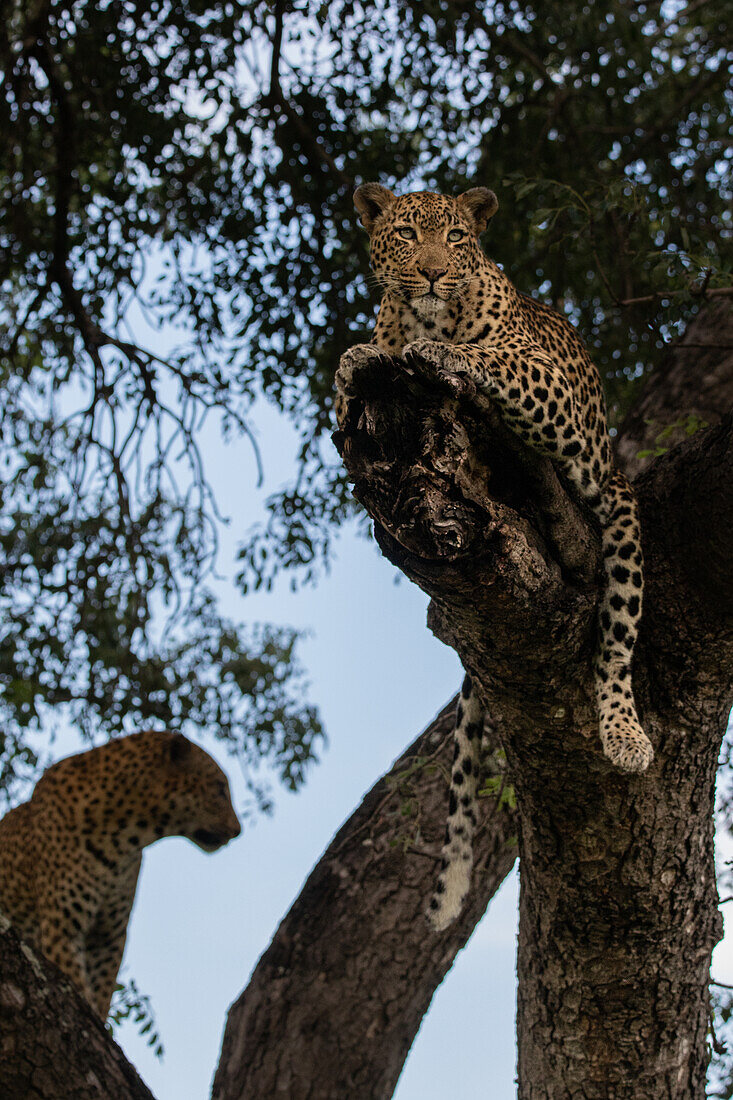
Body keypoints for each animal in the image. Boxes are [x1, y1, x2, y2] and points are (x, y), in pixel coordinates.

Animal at [0, 726, 239, 1016]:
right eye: (219, 789)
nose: (237, 830)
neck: (125, 837)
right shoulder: (63, 925)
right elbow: (77, 982)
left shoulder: (109, 937)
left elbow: (102, 991)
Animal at [334, 184, 651, 932]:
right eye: (404, 235)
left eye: (455, 237)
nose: (429, 273)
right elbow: (350, 378)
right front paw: (356, 360)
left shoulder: (545, 382)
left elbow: (491, 361)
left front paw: (434, 353)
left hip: (616, 501)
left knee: (617, 635)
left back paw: (624, 736)